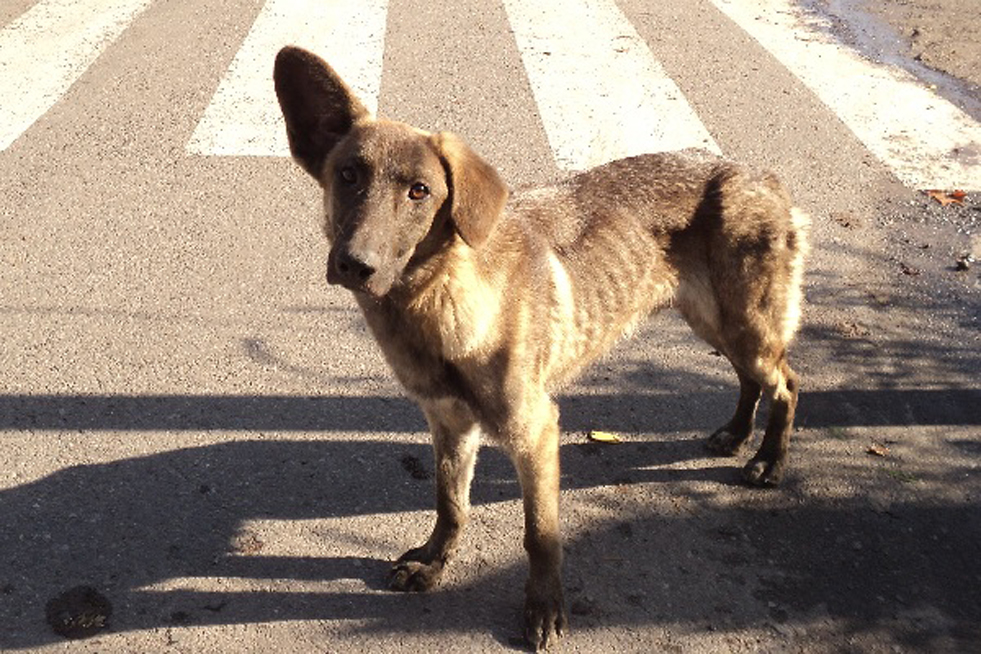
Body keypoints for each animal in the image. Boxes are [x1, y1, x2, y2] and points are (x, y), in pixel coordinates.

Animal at [272, 44, 808, 652]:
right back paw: (736, 434)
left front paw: (545, 607)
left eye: (419, 191)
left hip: (746, 325)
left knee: (786, 384)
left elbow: (540, 535)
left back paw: (769, 459)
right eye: (348, 175)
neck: (433, 299)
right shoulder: (450, 424)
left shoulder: (536, 432)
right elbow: (450, 504)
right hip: (714, 321)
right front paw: (434, 562)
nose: (354, 265)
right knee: (749, 379)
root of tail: (761, 176)